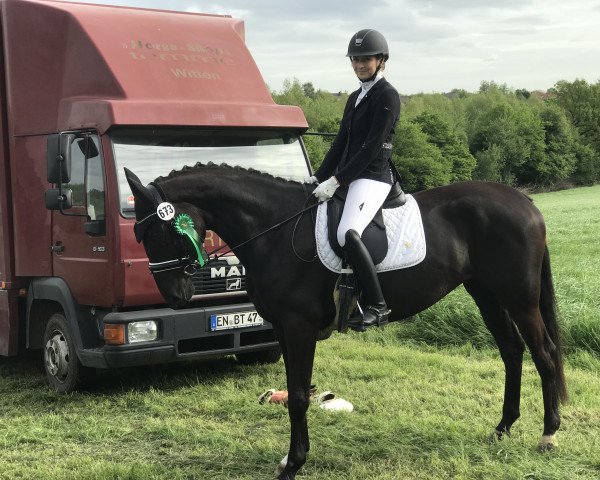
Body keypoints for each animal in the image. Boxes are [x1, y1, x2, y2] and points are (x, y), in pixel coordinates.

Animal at [123, 163, 568, 478]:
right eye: (143, 237)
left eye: (158, 233)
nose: (176, 296)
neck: (275, 230)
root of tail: (524, 202)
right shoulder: (284, 329)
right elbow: (295, 391)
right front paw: (289, 460)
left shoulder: (299, 328)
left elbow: (299, 396)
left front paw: (294, 464)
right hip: (486, 293)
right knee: (511, 351)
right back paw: (502, 428)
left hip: (519, 298)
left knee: (543, 353)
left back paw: (548, 434)